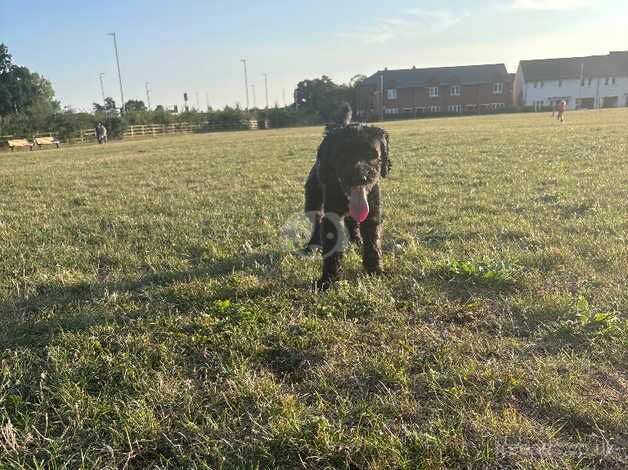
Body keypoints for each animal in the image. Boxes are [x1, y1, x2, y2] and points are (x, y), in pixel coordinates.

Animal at [302, 105, 388, 286]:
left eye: (372, 155)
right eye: (343, 155)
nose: (361, 176)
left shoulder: (372, 214)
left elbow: (373, 243)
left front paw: (375, 271)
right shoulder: (331, 218)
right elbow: (331, 249)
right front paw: (329, 279)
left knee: (352, 222)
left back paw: (356, 241)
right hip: (313, 201)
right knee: (316, 222)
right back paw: (312, 246)